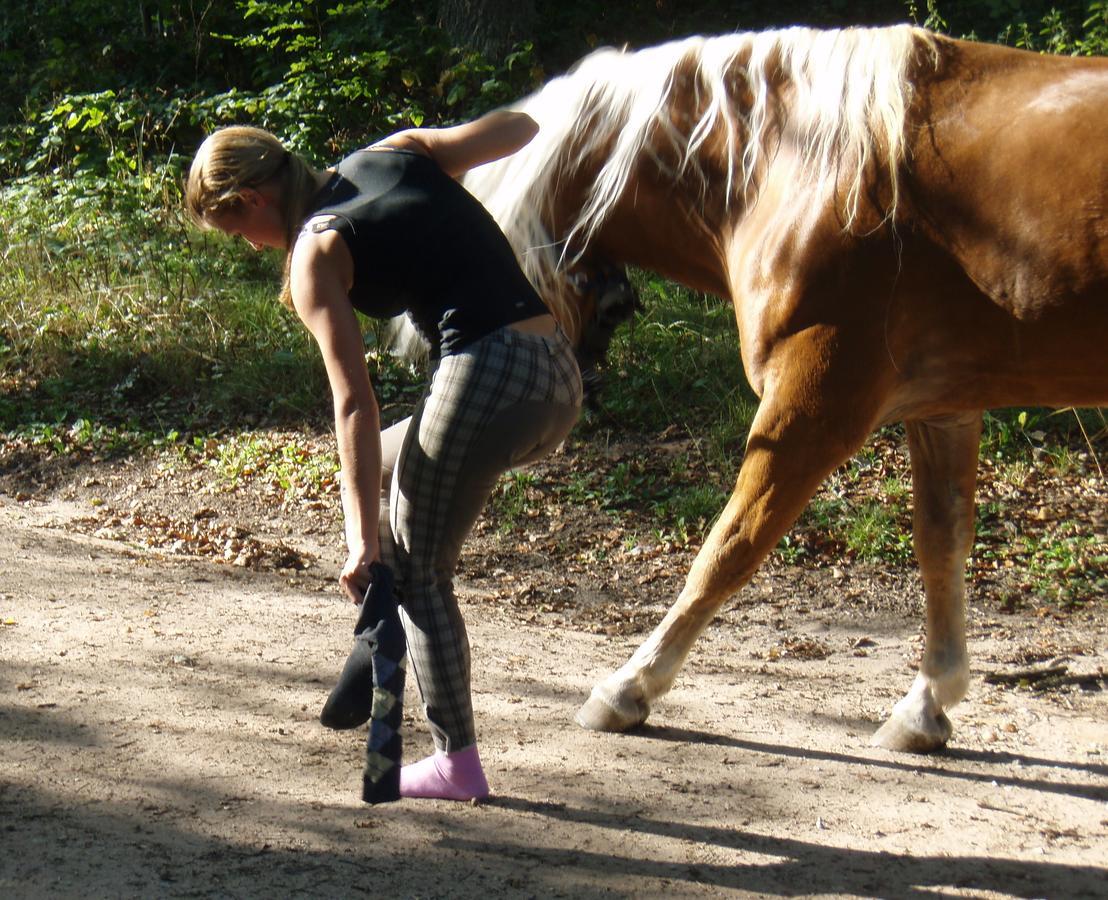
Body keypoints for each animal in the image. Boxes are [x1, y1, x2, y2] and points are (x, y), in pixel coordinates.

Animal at [460, 26, 1108, 753]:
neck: (800, 170)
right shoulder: (945, 409)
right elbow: (942, 541)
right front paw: (926, 704)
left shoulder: (813, 404)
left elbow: (730, 546)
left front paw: (629, 687)